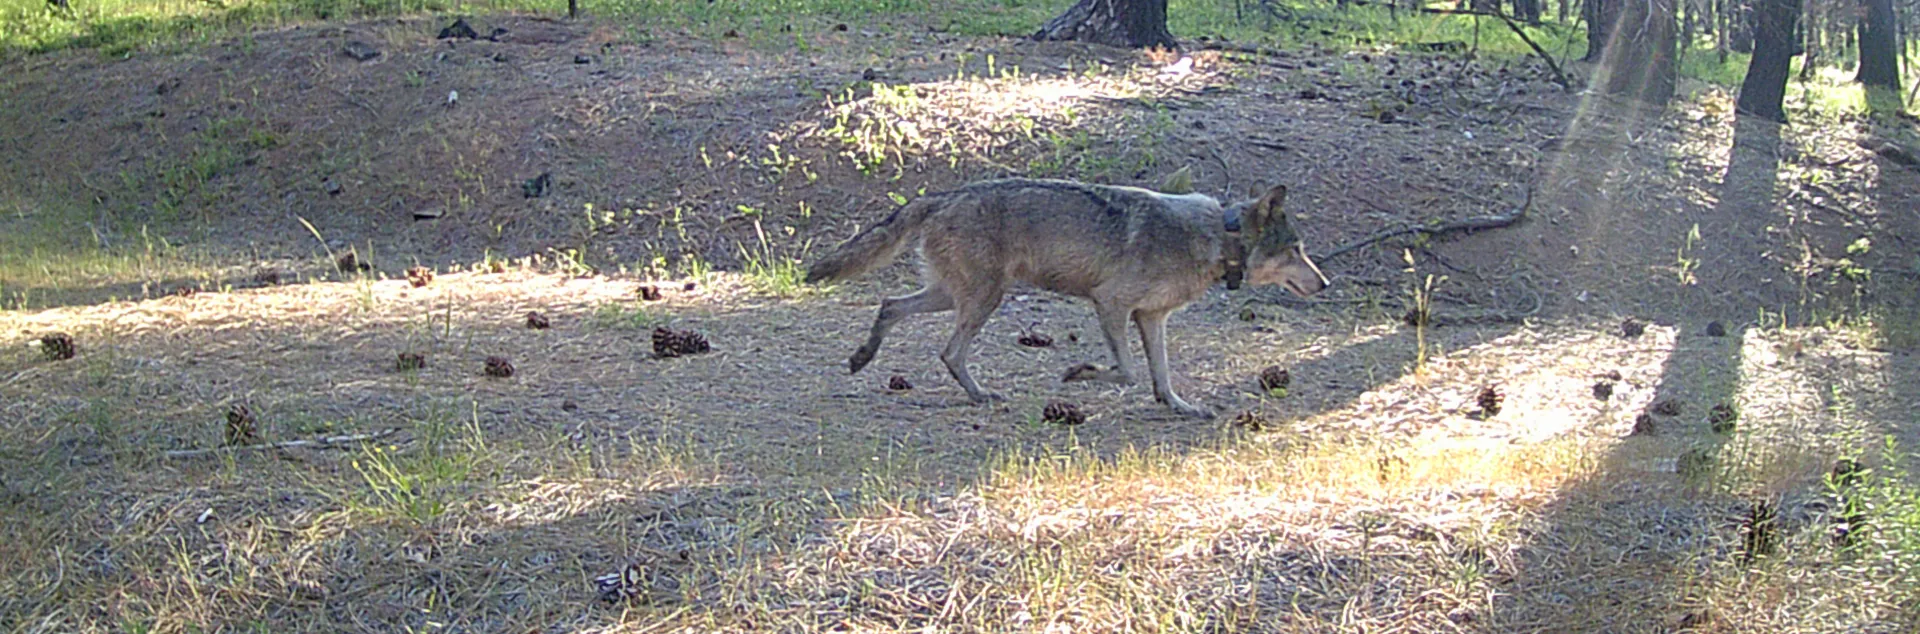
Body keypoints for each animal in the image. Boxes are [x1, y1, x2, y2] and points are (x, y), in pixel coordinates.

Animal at [805, 177, 1329, 418]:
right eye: (1297, 249)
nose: (1324, 284)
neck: (1219, 236)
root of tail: (944, 194)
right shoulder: (1111, 304)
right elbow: (1126, 372)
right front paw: (1077, 373)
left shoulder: (1152, 318)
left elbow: (1160, 376)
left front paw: (1179, 406)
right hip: (983, 299)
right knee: (948, 350)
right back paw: (979, 395)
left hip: (956, 296)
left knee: (890, 305)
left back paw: (862, 357)